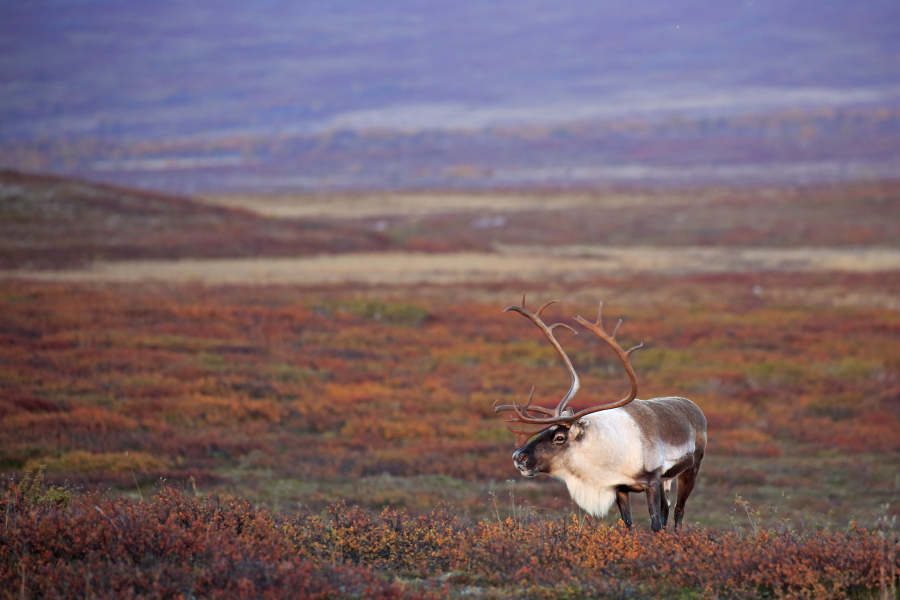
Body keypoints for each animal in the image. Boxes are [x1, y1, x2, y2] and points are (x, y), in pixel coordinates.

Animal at [494, 296, 707, 532]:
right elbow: (629, 526)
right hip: (666, 480)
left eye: (559, 437)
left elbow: (656, 524)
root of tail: (694, 407)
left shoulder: (652, 480)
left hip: (691, 469)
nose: (519, 456)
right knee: (668, 507)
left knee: (678, 512)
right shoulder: (620, 488)